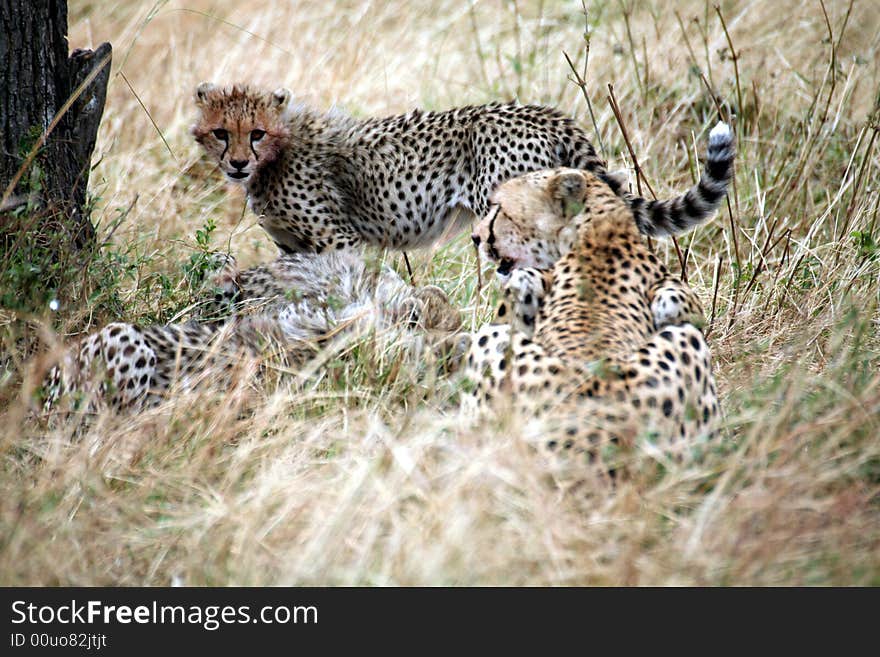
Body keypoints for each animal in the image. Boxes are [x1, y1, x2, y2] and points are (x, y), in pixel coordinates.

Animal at [192, 82, 736, 256]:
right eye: (221, 132)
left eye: (256, 133)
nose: (237, 163)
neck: (275, 158)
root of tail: (542, 112)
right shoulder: (292, 247)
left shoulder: (338, 239)